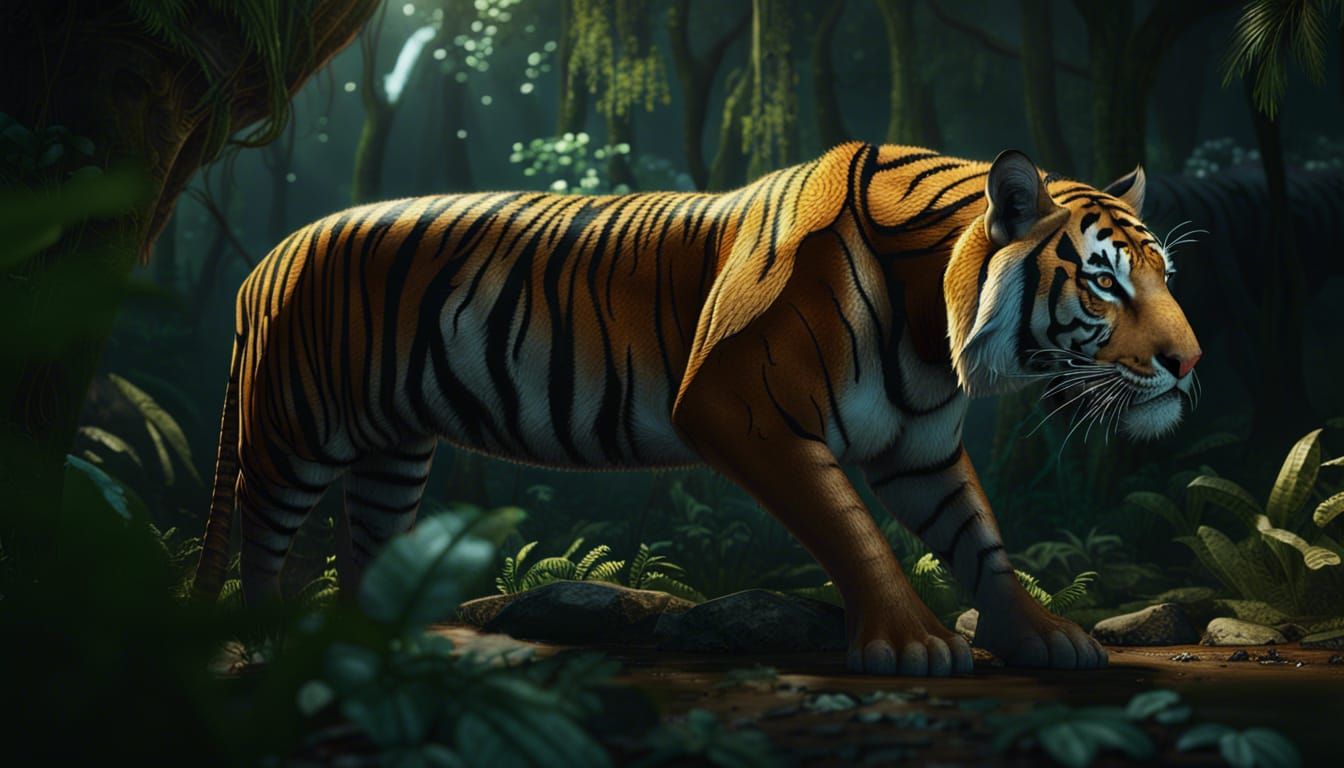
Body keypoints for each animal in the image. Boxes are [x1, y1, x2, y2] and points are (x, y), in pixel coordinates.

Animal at [192, 142, 1201, 677]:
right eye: (1105, 282)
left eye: (1164, 275)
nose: (1191, 364)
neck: (934, 329)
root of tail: (262, 261)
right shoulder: (742, 410)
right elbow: (853, 530)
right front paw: (911, 642)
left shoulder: (919, 447)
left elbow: (979, 537)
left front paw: (1040, 634)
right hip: (294, 433)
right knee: (261, 532)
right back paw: (266, 644)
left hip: (395, 453)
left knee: (364, 545)